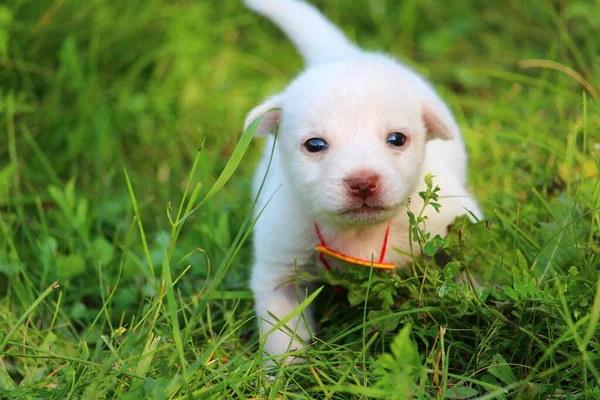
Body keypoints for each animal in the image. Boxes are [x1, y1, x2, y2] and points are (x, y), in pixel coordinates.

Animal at [241, 0, 480, 360]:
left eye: (397, 139)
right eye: (315, 145)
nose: (363, 182)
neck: (359, 233)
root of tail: (338, 53)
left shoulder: (454, 227)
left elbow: (469, 268)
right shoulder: (279, 270)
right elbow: (281, 333)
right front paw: (286, 371)